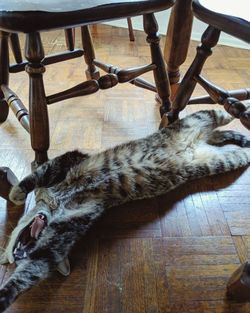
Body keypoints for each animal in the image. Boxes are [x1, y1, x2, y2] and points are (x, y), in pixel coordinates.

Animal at [0, 108, 250, 310]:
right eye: (16, 261)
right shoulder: (57, 240)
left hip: (198, 120)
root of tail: (199, 141)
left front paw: (16, 193)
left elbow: (38, 174)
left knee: (218, 113)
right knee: (228, 141)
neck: (56, 202)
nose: (17, 256)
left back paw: (238, 109)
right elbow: (32, 270)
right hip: (223, 160)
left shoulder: (70, 160)